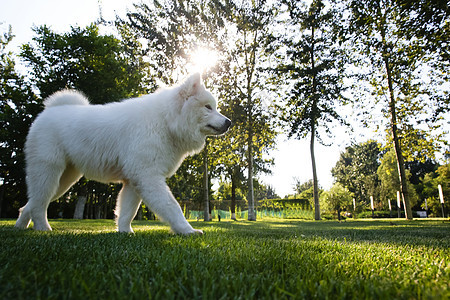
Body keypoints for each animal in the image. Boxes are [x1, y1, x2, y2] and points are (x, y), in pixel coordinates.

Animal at [15, 73, 230, 234]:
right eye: (208, 107)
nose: (229, 122)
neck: (165, 122)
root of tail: (49, 111)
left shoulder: (133, 180)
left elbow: (127, 211)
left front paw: (125, 232)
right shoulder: (147, 177)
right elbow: (172, 207)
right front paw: (187, 231)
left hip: (64, 180)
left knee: (30, 203)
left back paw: (20, 227)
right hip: (48, 172)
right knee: (38, 205)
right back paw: (43, 229)